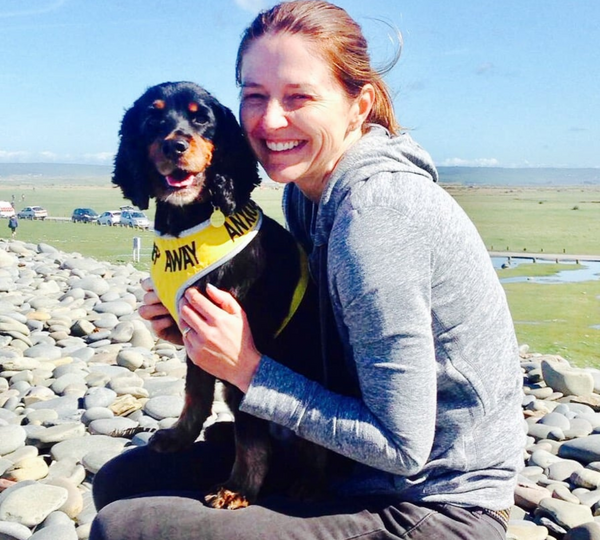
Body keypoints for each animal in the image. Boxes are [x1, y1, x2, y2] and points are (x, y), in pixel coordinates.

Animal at [113, 81, 330, 510]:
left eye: (201, 119)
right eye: (153, 117)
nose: (175, 146)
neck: (188, 219)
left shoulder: (241, 348)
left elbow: (251, 433)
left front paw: (238, 488)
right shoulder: (196, 332)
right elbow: (194, 393)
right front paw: (180, 436)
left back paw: (310, 481)